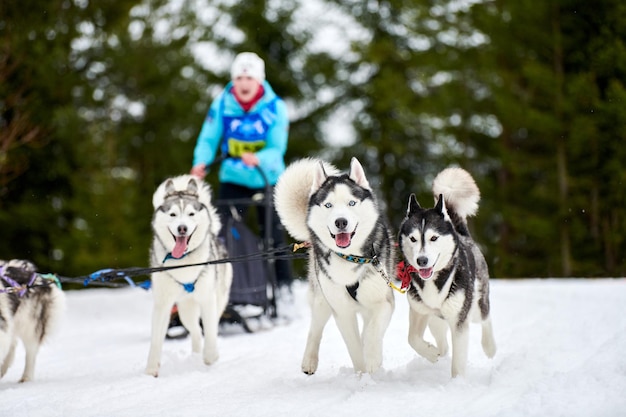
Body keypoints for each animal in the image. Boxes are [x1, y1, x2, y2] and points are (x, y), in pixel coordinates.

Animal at [146, 176, 232, 376]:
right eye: (173, 215)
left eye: (191, 214)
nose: (182, 228)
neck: (183, 261)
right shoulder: (162, 304)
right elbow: (156, 339)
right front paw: (151, 370)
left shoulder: (208, 299)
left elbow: (210, 331)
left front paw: (211, 356)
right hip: (185, 311)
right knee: (196, 332)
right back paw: (195, 355)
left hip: (217, 300)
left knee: (211, 326)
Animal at [274, 157, 392, 374]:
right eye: (328, 205)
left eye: (351, 202)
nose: (341, 222)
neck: (350, 258)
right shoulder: (342, 312)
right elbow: (354, 348)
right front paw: (363, 374)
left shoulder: (383, 301)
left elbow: (372, 333)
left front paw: (373, 360)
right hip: (321, 299)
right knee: (315, 328)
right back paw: (309, 361)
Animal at [398, 167, 494, 376]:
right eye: (413, 239)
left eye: (433, 238)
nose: (422, 260)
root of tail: (462, 234)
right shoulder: (419, 311)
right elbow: (412, 338)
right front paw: (430, 353)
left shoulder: (460, 321)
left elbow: (458, 362)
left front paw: (457, 381)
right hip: (435, 321)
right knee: (443, 343)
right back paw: (439, 353)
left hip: (476, 305)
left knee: (485, 318)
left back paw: (490, 347)